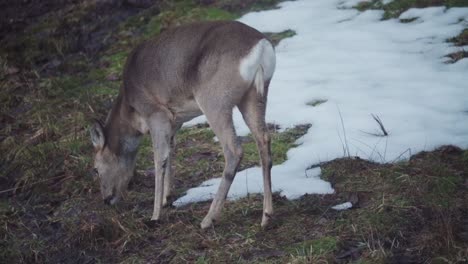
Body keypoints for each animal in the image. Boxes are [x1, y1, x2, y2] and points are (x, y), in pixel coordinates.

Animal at [89, 20, 276, 229]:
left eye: (95, 169)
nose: (106, 199)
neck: (130, 110)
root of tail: (261, 48)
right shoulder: (175, 120)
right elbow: (170, 151)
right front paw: (167, 198)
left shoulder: (156, 114)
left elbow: (159, 159)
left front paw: (155, 215)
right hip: (255, 96)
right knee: (264, 140)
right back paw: (266, 216)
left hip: (214, 101)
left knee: (234, 150)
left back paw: (208, 219)